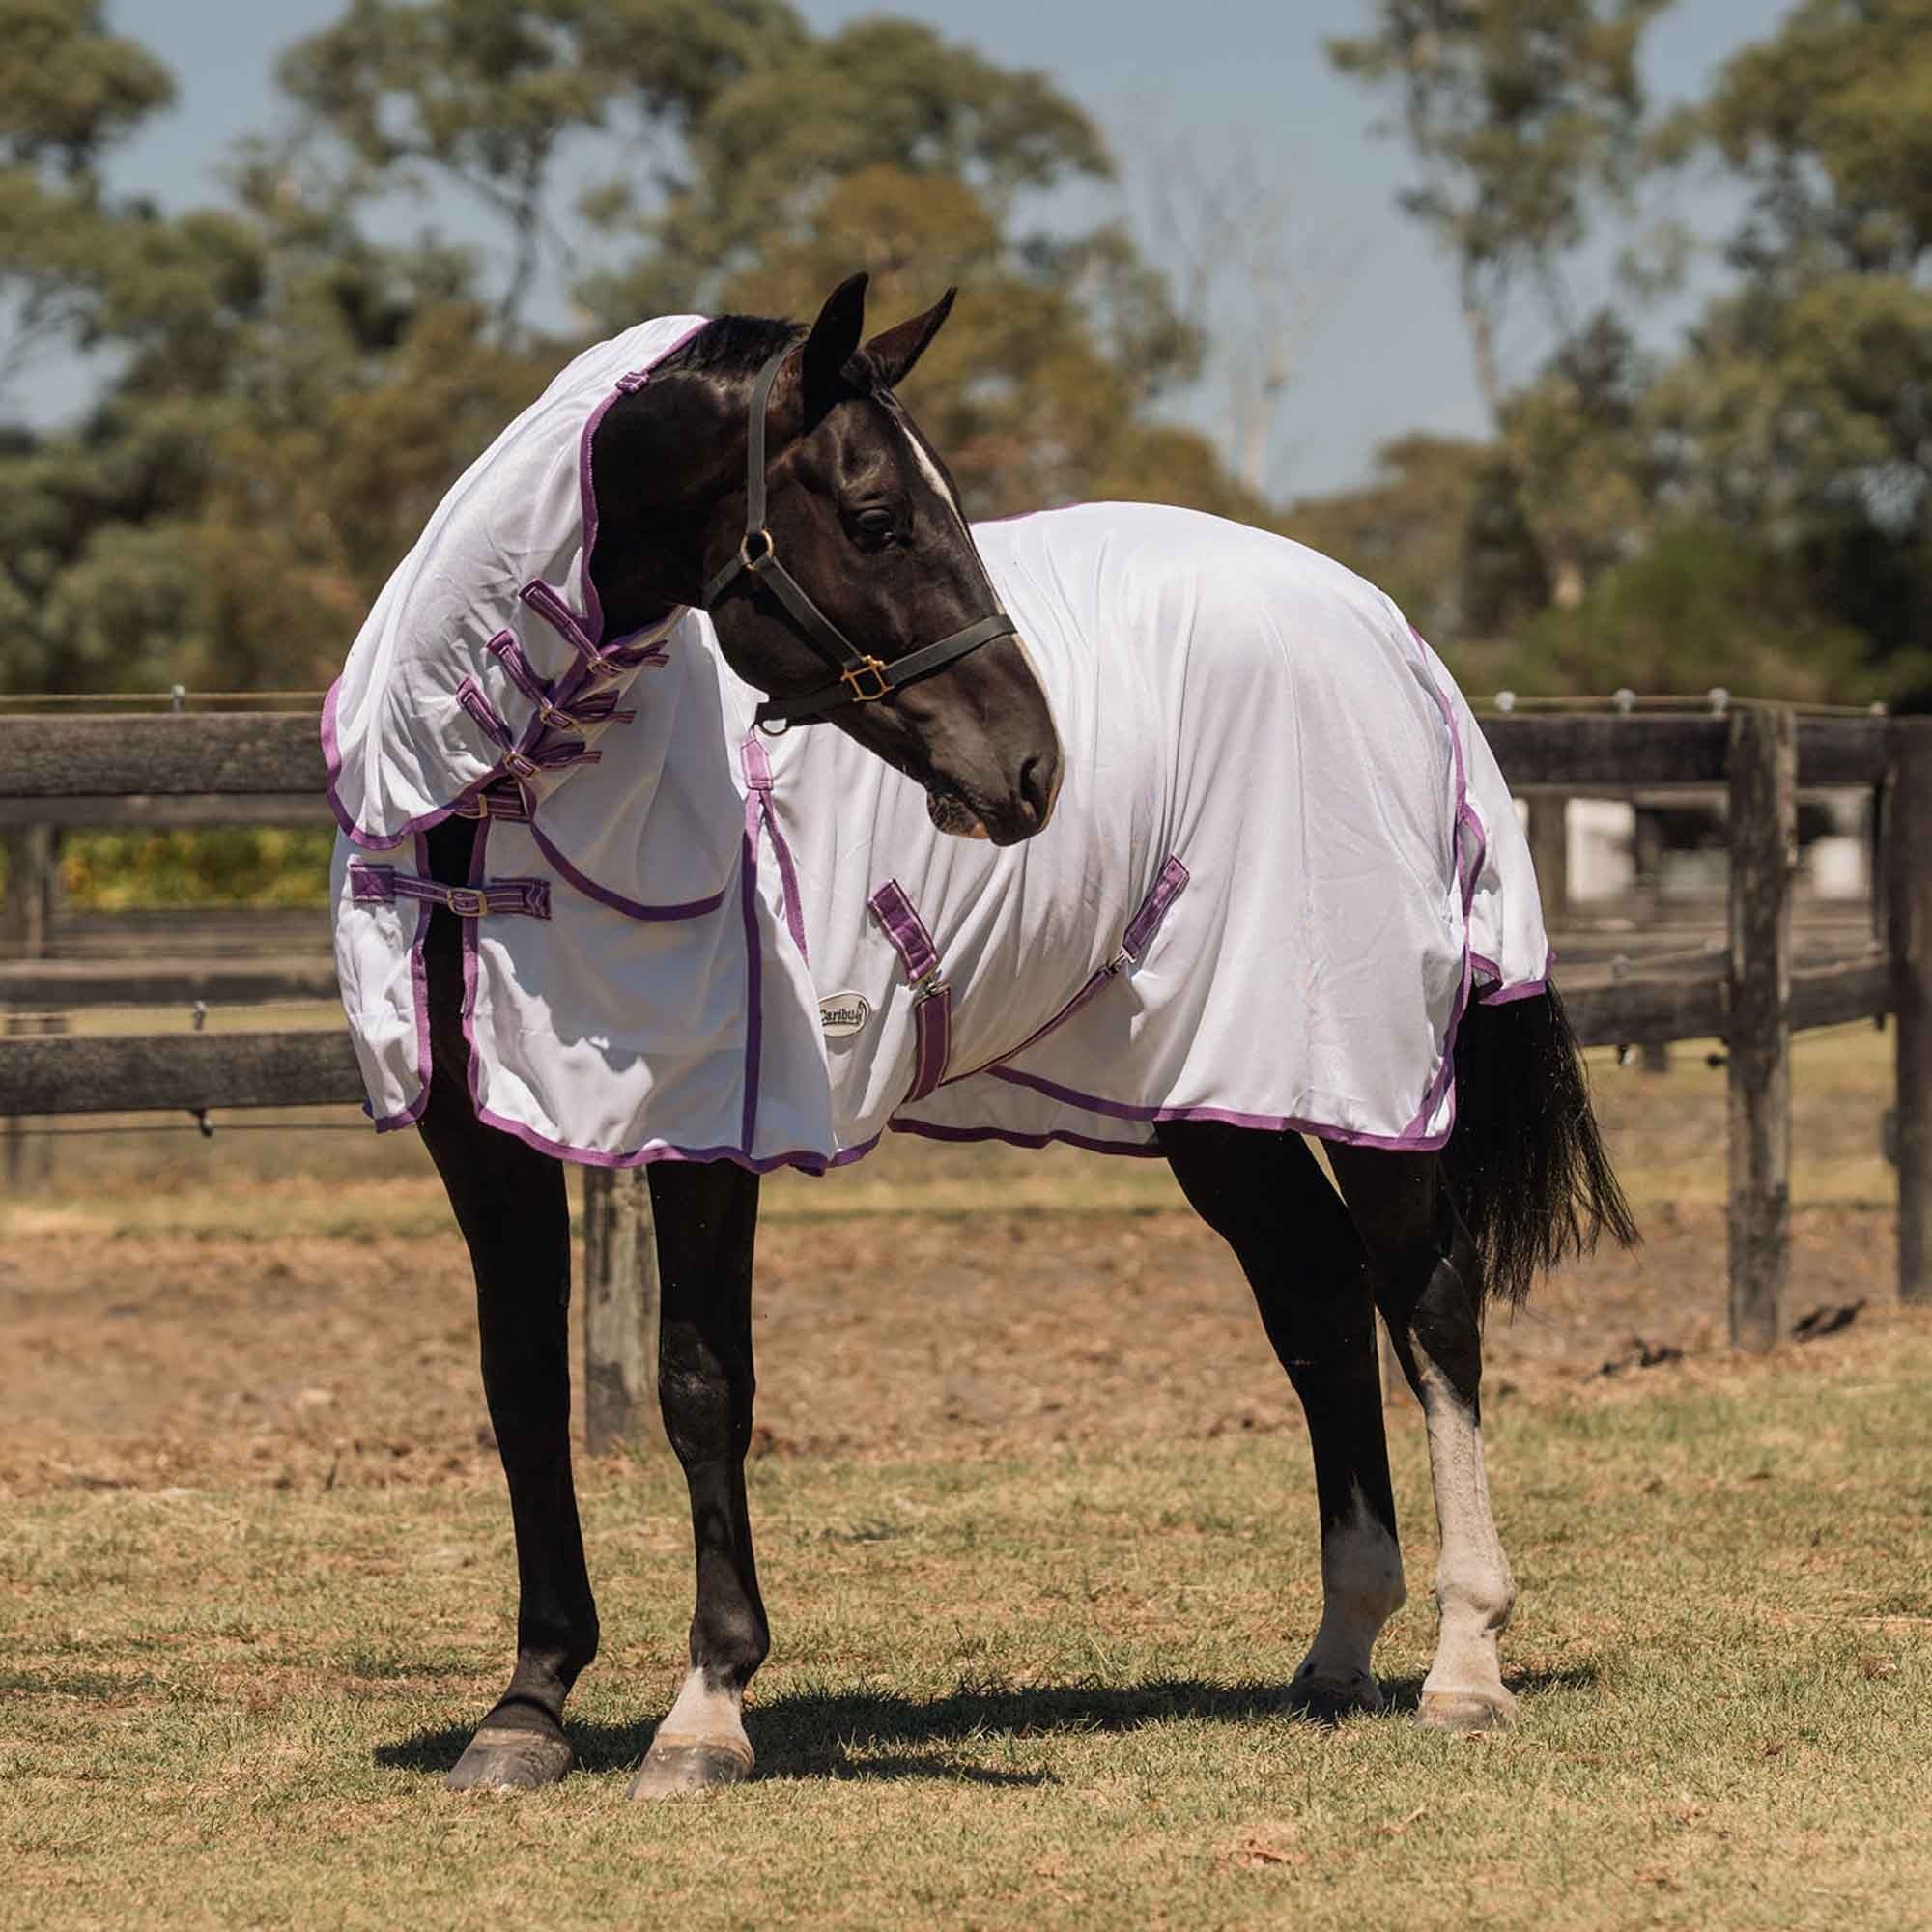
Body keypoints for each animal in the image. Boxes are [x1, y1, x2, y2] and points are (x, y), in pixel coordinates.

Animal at [326, 302, 1634, 1800]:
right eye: (879, 517)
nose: (1031, 770)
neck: (501, 797)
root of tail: (1391, 635)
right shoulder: (476, 1131)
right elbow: (521, 1386)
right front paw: (526, 1704)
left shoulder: (713, 1121)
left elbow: (702, 1385)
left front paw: (706, 1709)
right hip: (1216, 1091)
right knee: (1312, 1296)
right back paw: (1340, 1649)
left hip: (1363, 1066)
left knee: (1430, 1305)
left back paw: (1465, 1664)